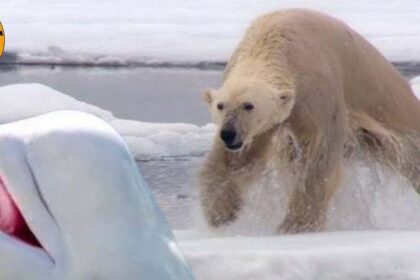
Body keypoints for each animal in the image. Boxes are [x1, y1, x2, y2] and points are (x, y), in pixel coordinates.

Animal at [199, 8, 420, 233]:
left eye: (248, 105)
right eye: (220, 105)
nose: (229, 134)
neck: (272, 43)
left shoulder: (316, 90)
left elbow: (319, 155)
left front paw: (295, 226)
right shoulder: (264, 125)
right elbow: (239, 159)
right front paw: (221, 211)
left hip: (386, 103)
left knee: (411, 152)